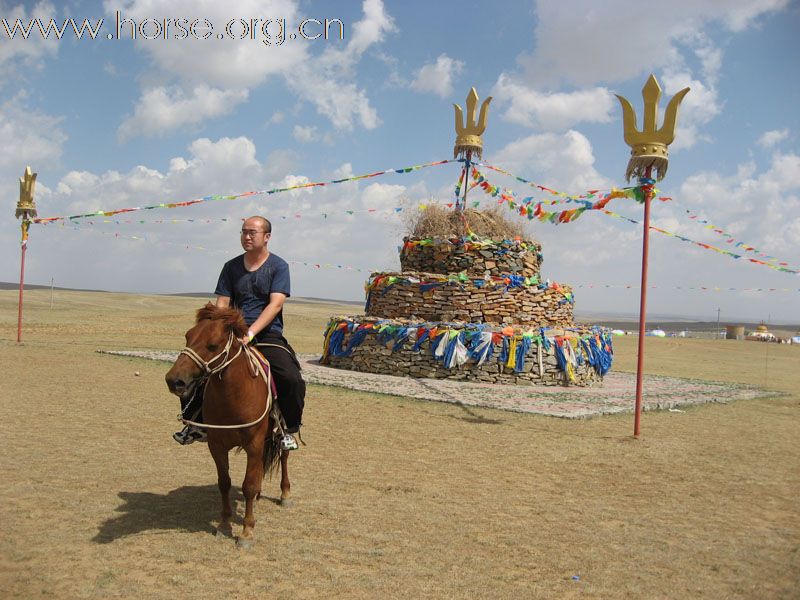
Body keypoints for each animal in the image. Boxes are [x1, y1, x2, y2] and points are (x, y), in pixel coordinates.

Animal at [163, 304, 290, 548]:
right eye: (188, 336)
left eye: (212, 345)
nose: (174, 381)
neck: (235, 397)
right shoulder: (217, 445)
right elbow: (224, 483)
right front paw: (224, 525)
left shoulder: (253, 444)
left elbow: (248, 485)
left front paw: (247, 531)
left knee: (285, 456)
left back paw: (285, 494)